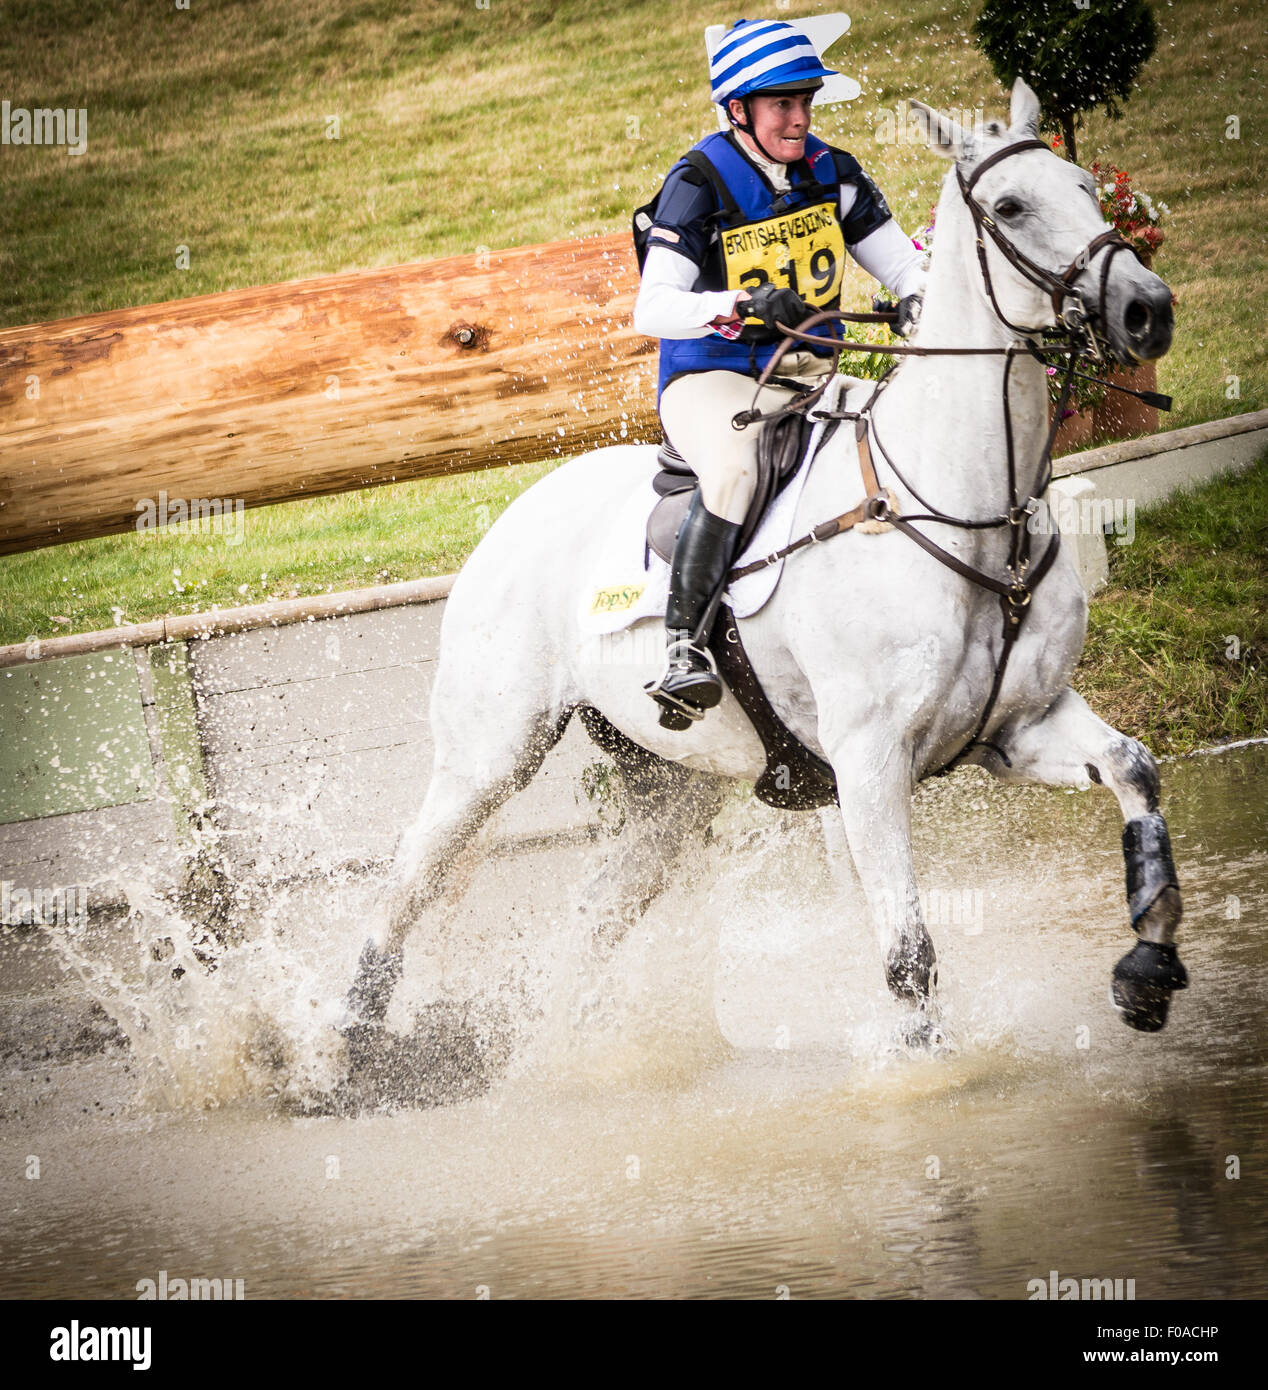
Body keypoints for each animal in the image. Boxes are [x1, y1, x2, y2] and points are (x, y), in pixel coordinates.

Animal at [339, 78, 1190, 1095]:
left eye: (1087, 187)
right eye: (1014, 206)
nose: (1148, 311)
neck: (971, 506)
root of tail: (516, 513)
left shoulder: (1021, 724)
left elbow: (1135, 770)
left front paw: (1147, 968)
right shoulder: (870, 761)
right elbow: (908, 948)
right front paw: (922, 1079)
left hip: (666, 790)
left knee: (592, 915)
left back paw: (561, 1057)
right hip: (491, 753)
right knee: (406, 881)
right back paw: (345, 1049)